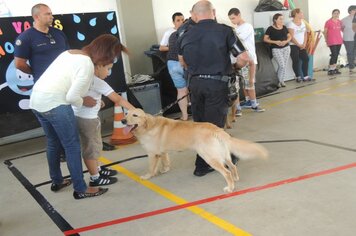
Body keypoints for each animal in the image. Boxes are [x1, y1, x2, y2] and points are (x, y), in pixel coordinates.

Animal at [122, 108, 268, 193]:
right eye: (126, 113)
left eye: (135, 115)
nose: (123, 121)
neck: (148, 126)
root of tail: (216, 129)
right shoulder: (162, 151)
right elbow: (165, 160)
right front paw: (165, 169)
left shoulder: (152, 153)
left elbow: (151, 167)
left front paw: (147, 176)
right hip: (224, 155)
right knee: (232, 166)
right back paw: (235, 179)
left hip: (210, 157)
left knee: (226, 172)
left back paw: (230, 187)